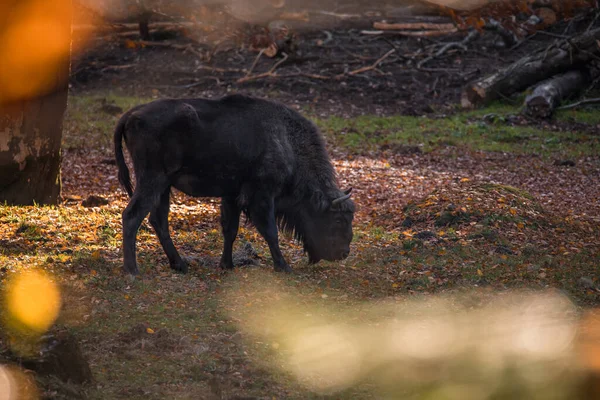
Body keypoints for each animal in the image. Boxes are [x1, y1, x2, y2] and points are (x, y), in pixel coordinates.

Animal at [115, 94, 354, 276]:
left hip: (163, 187)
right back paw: (133, 270)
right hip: (152, 181)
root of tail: (131, 114)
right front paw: (283, 267)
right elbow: (270, 232)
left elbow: (230, 230)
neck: (286, 141)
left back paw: (180, 265)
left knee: (158, 221)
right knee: (132, 216)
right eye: (338, 219)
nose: (344, 252)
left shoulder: (232, 196)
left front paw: (226, 265)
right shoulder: (262, 196)